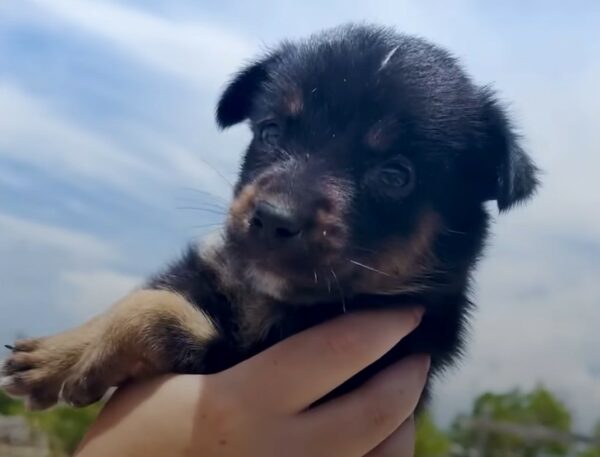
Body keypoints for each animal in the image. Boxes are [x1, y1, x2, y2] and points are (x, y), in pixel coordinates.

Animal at [0, 24, 540, 410]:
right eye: (270, 131)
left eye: (395, 175)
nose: (273, 218)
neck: (268, 296)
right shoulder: (211, 271)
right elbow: (148, 295)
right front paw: (63, 352)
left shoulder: (254, 363)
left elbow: (158, 312)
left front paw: (86, 357)